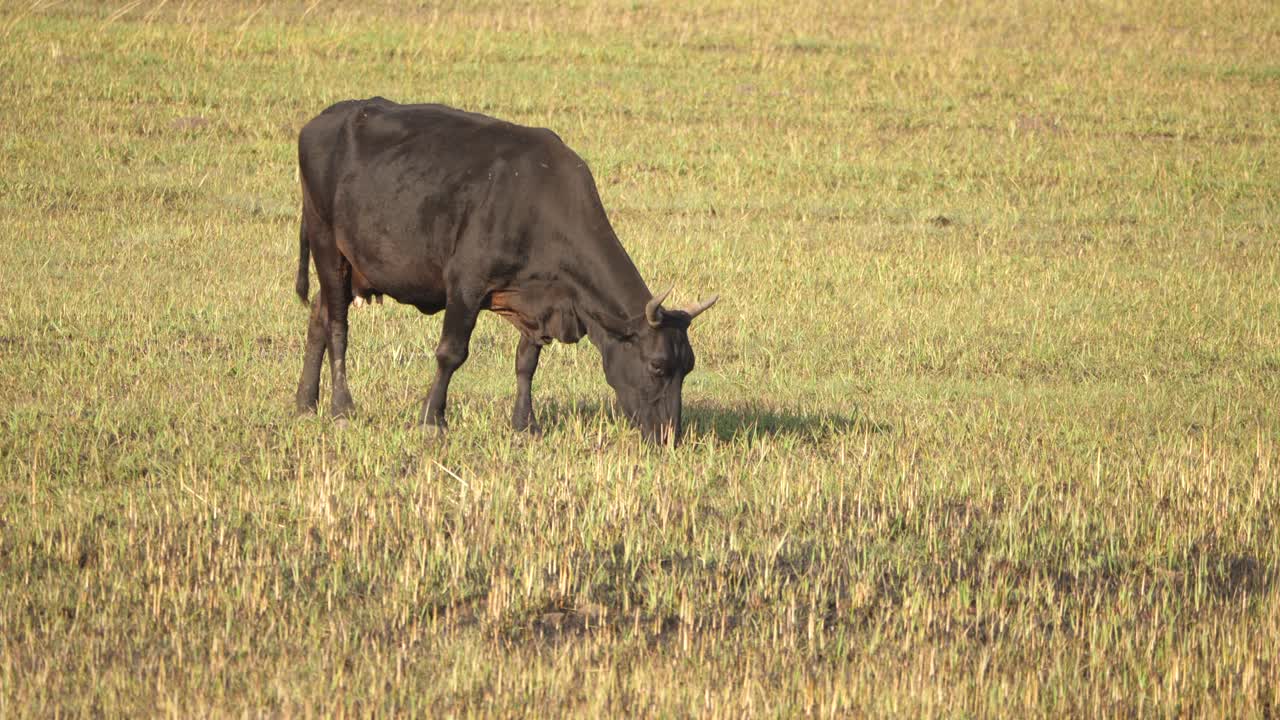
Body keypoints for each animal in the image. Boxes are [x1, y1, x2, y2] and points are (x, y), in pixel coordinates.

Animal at [293, 98, 717, 445]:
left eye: (688, 367)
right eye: (657, 365)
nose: (669, 436)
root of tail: (326, 118)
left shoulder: (540, 302)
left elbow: (527, 362)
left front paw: (524, 424)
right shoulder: (465, 283)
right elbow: (451, 353)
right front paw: (432, 420)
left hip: (348, 265)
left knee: (318, 316)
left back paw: (306, 402)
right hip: (326, 244)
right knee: (337, 326)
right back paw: (341, 407)